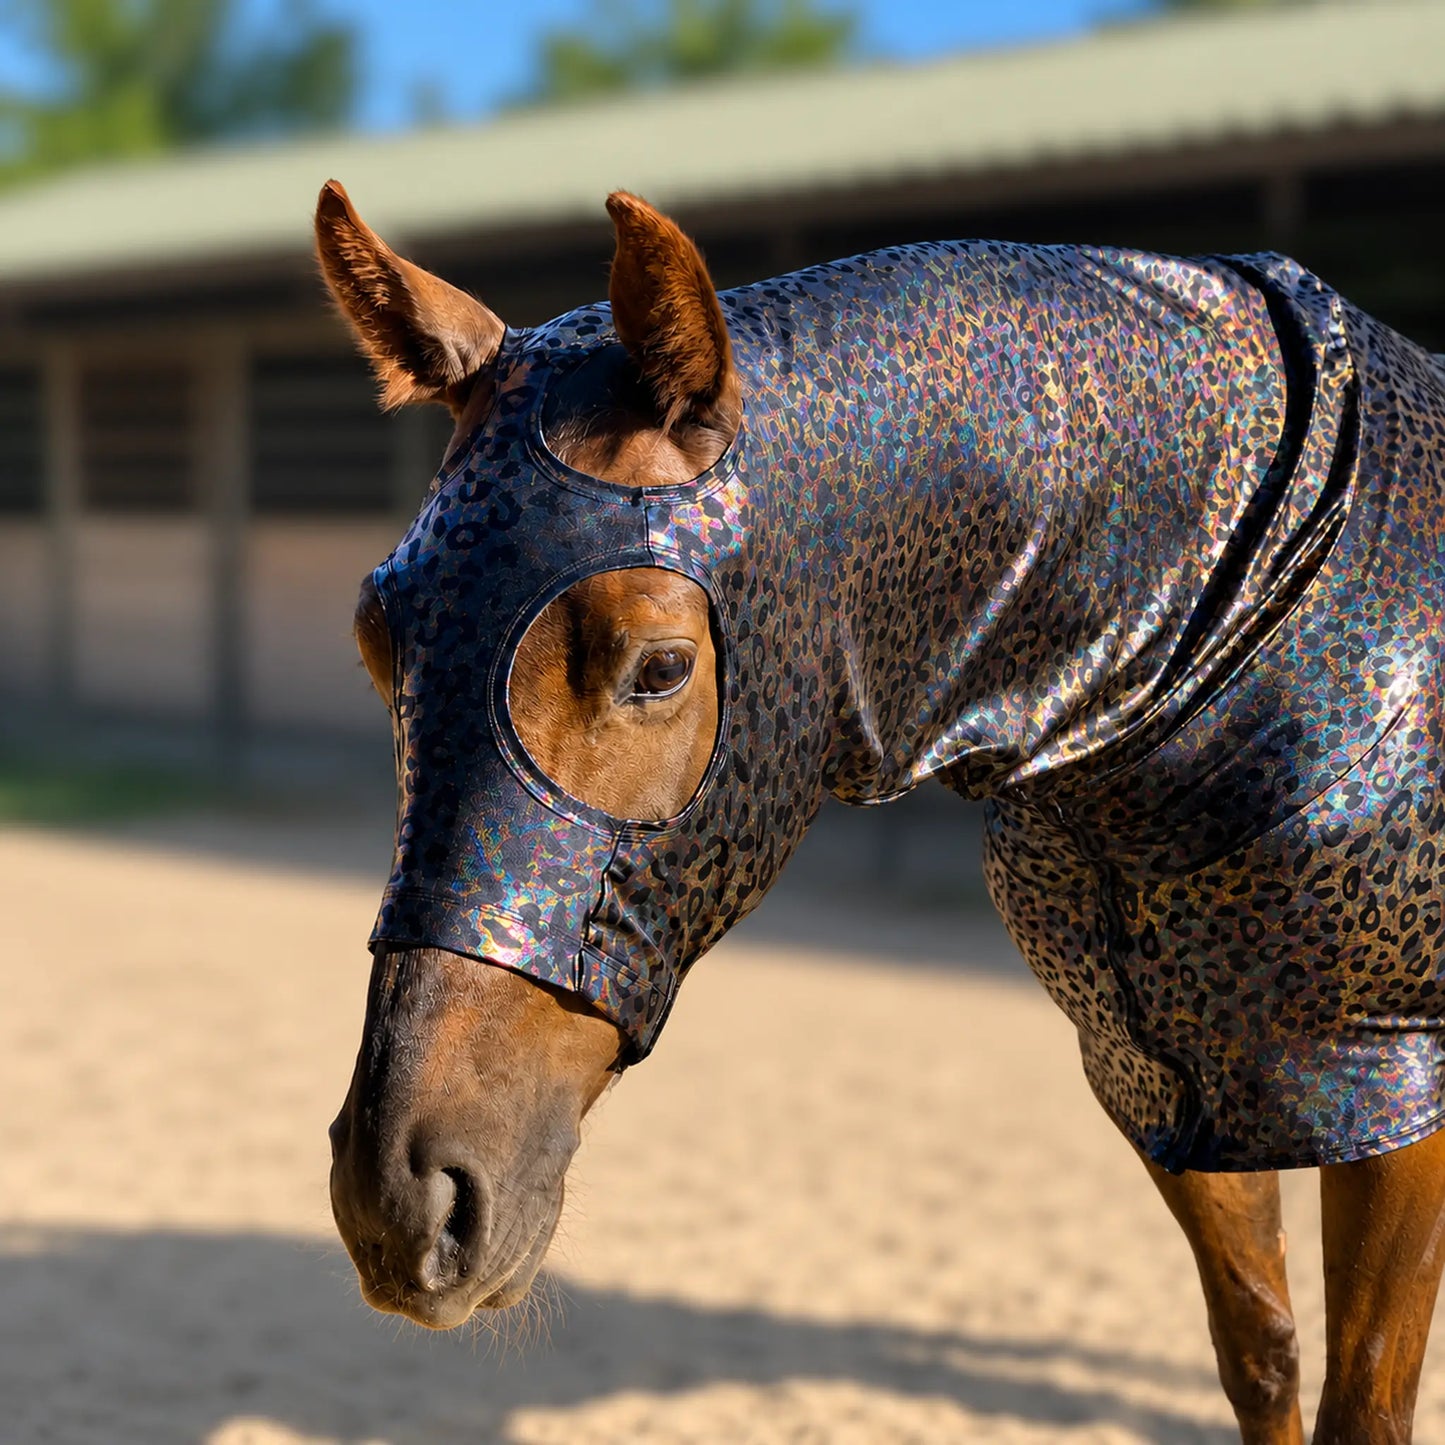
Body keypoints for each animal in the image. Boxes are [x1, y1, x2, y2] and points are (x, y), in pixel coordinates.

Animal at [316, 178, 1445, 1444]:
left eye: (658, 665)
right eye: (378, 641)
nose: (400, 1196)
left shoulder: (1390, 1090)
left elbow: (1362, 1397)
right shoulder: (1163, 1082)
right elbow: (1259, 1352)